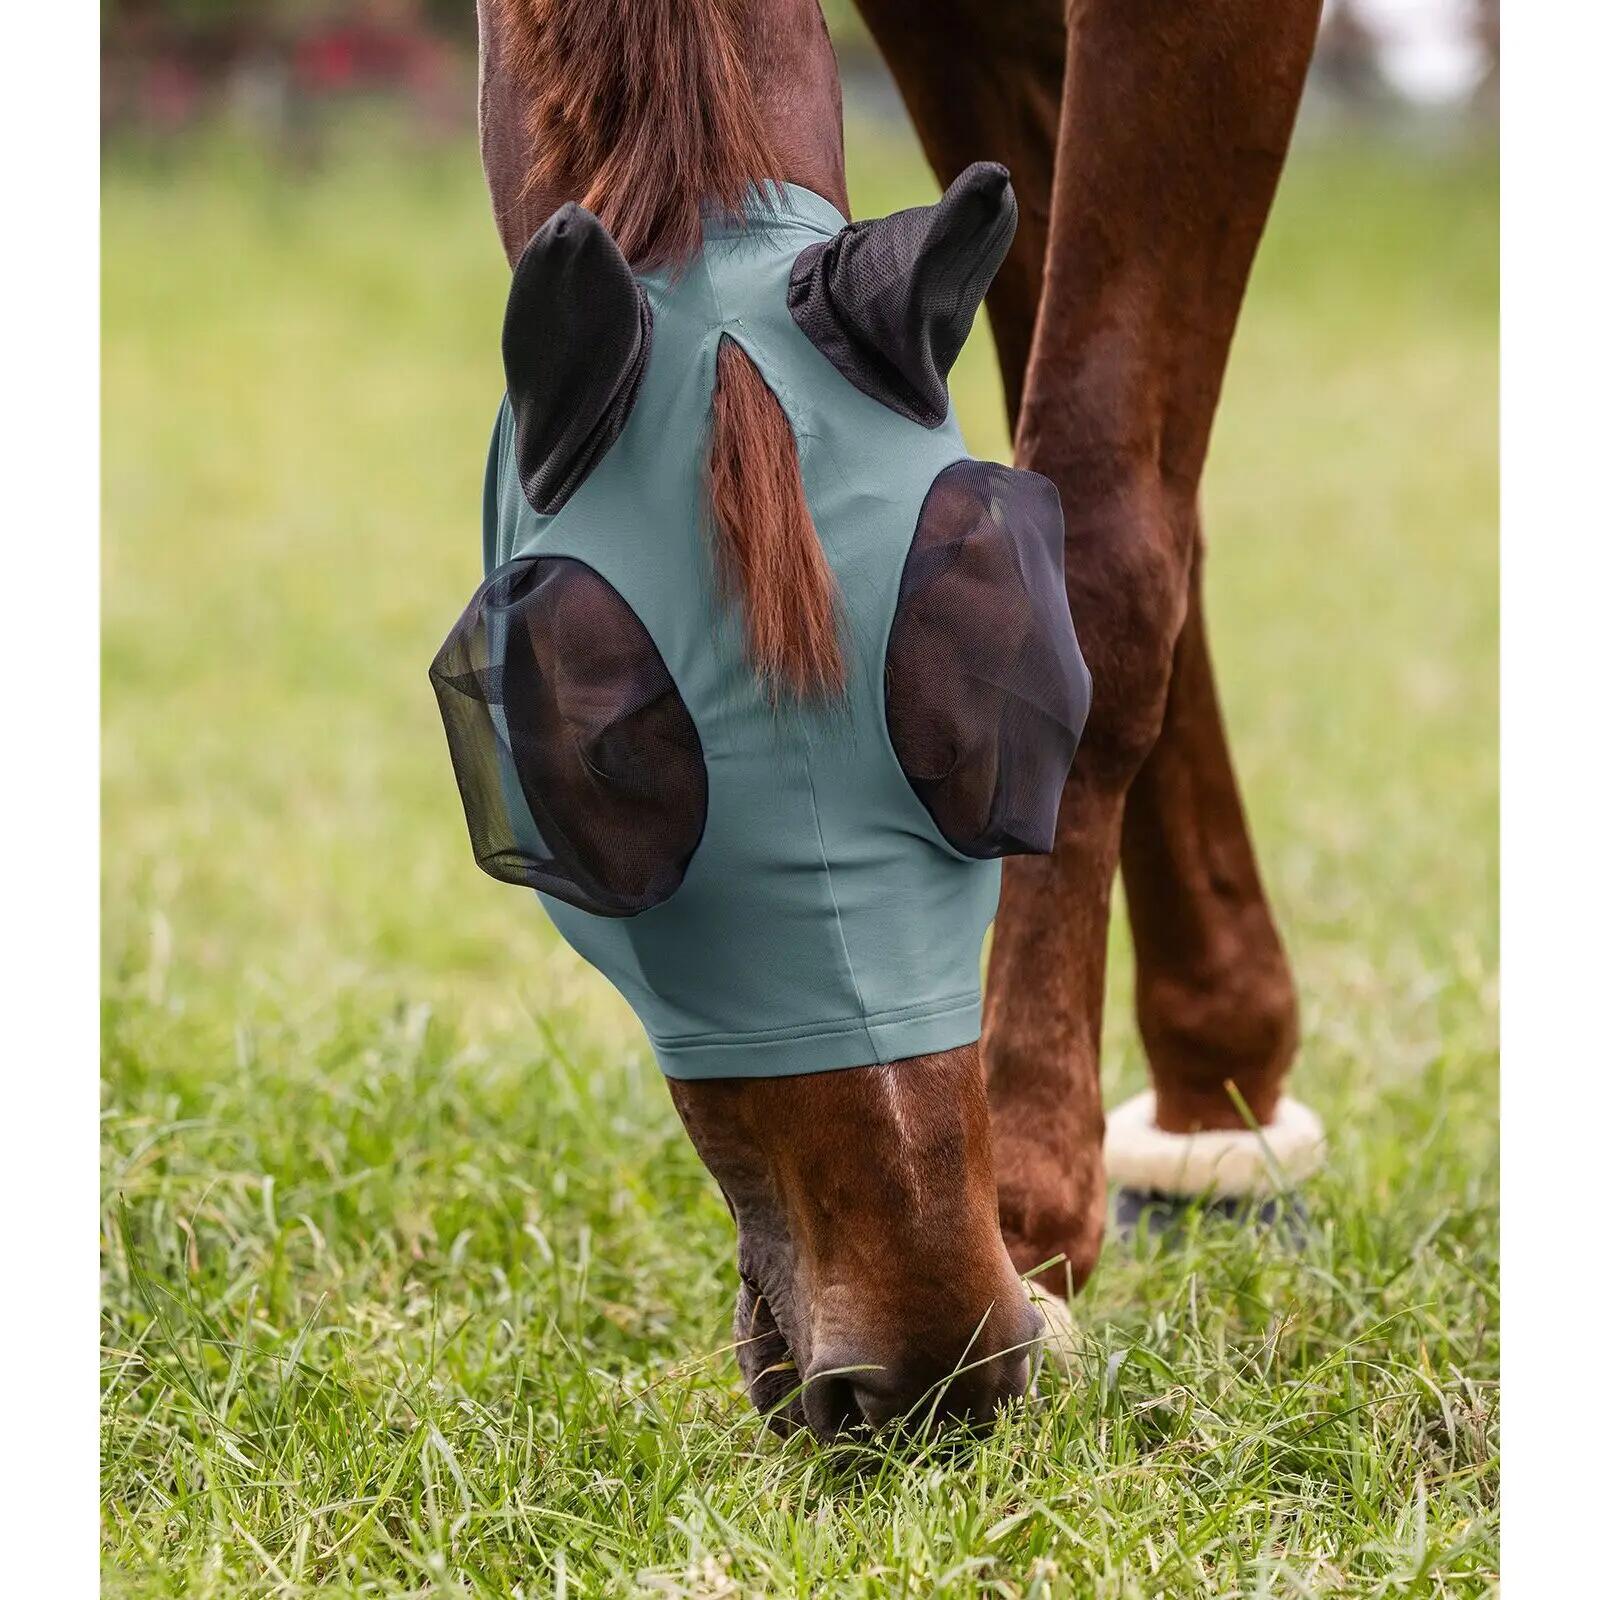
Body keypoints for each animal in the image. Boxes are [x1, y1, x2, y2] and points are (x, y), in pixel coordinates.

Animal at [464, 0, 1325, 1439]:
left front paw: (1037, 1195)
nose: (931, 1364)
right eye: (600, 771)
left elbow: (1112, 527)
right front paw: (1211, 1079)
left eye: (1005, 689)